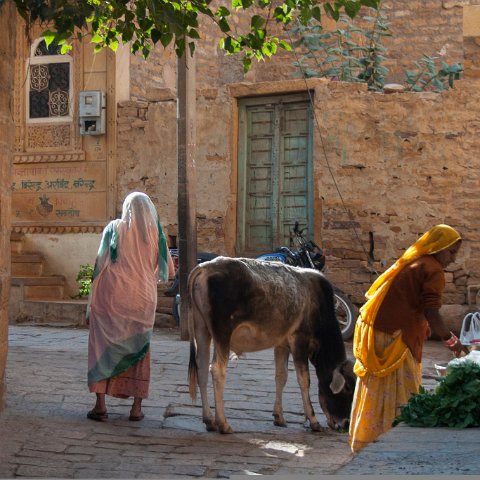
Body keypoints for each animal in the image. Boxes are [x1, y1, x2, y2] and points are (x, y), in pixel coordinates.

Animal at [188, 256, 356, 434]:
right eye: (347, 388)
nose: (345, 423)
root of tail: (206, 267)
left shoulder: (282, 344)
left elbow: (281, 376)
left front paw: (279, 417)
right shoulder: (299, 341)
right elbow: (304, 380)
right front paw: (313, 421)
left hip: (202, 330)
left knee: (202, 369)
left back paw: (209, 420)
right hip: (222, 334)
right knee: (217, 370)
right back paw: (223, 423)